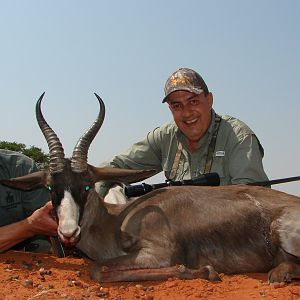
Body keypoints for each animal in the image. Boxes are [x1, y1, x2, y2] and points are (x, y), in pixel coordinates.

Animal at [1, 93, 300, 284]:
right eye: (50, 186)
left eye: (86, 184)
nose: (68, 232)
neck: (117, 220)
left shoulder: (157, 253)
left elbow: (98, 269)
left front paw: (206, 271)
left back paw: (278, 275)